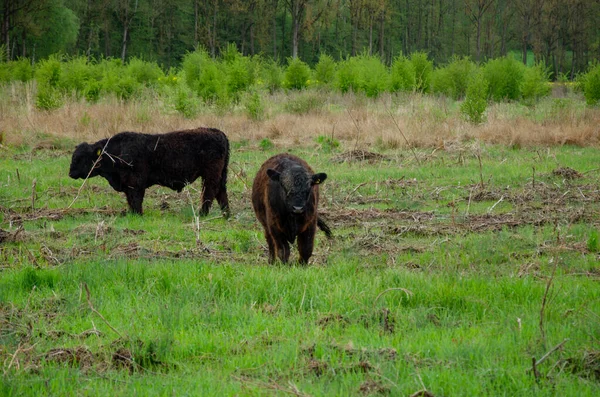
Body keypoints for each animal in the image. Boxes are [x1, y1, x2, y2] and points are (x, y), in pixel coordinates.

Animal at [69, 127, 231, 217]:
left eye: (80, 158)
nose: (70, 173)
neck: (115, 152)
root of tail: (217, 132)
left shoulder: (136, 183)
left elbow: (136, 199)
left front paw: (138, 214)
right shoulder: (128, 185)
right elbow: (130, 200)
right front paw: (132, 214)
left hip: (210, 175)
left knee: (210, 192)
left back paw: (202, 214)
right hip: (220, 175)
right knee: (221, 192)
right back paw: (226, 214)